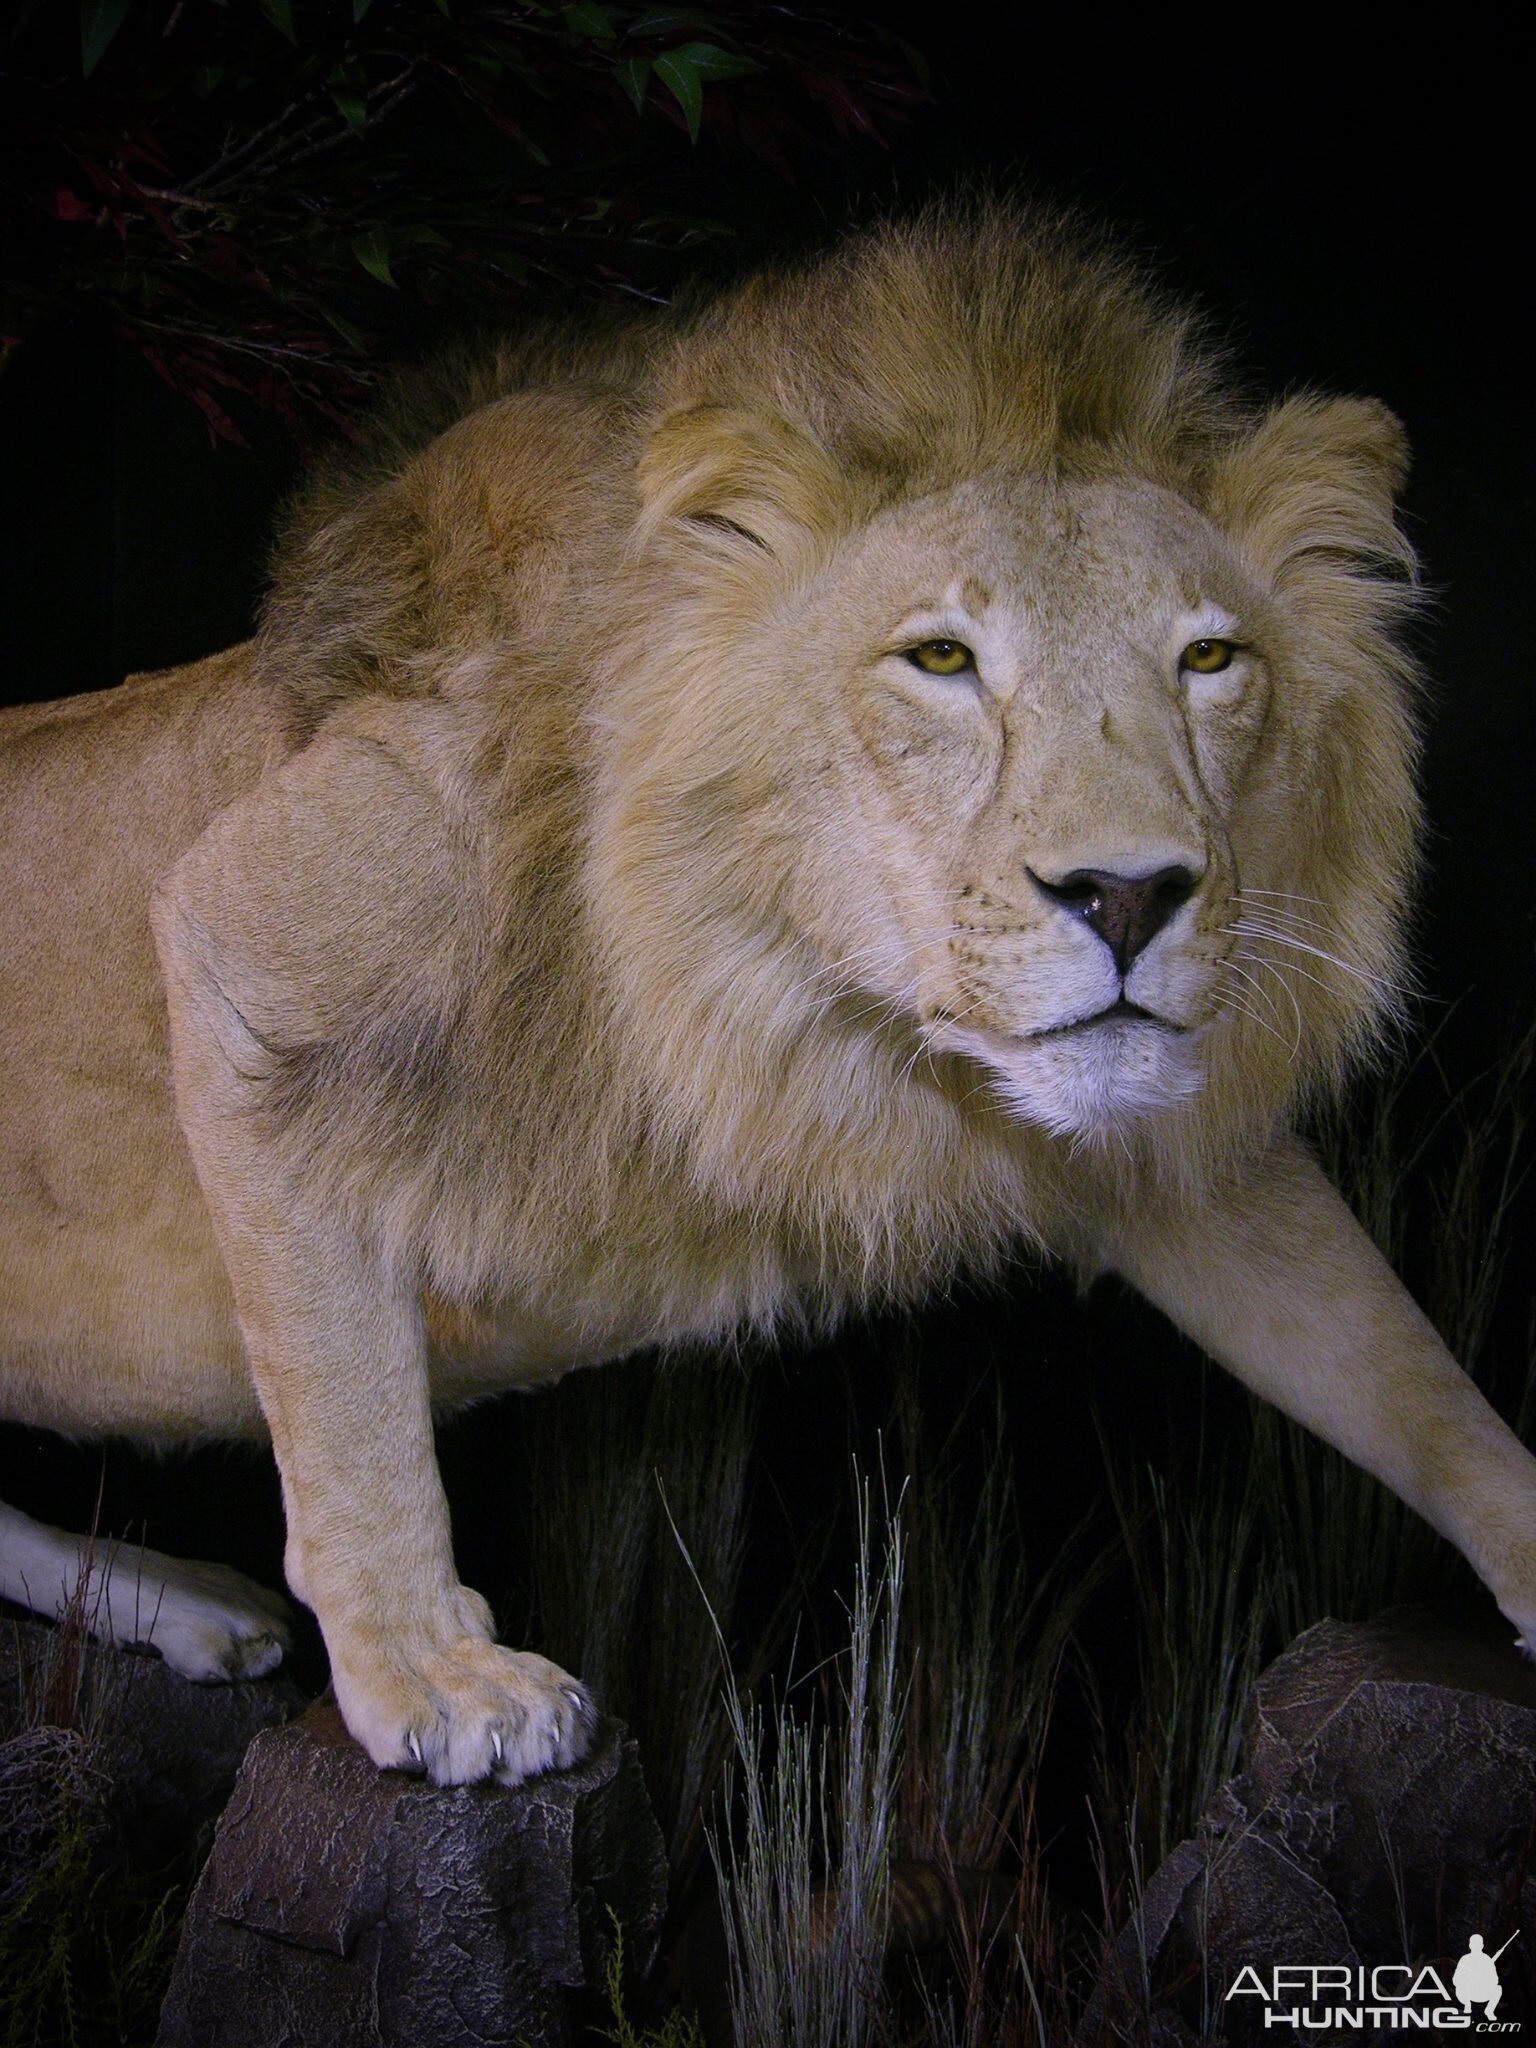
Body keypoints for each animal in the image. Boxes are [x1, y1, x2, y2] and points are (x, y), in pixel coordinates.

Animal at [3, 199, 1536, 1785]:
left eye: (1212, 658)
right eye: (939, 657)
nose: (1128, 894)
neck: (797, 1004)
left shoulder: (1162, 1144)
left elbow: (1389, 1353)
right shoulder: (249, 939)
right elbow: (350, 1395)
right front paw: (428, 1669)